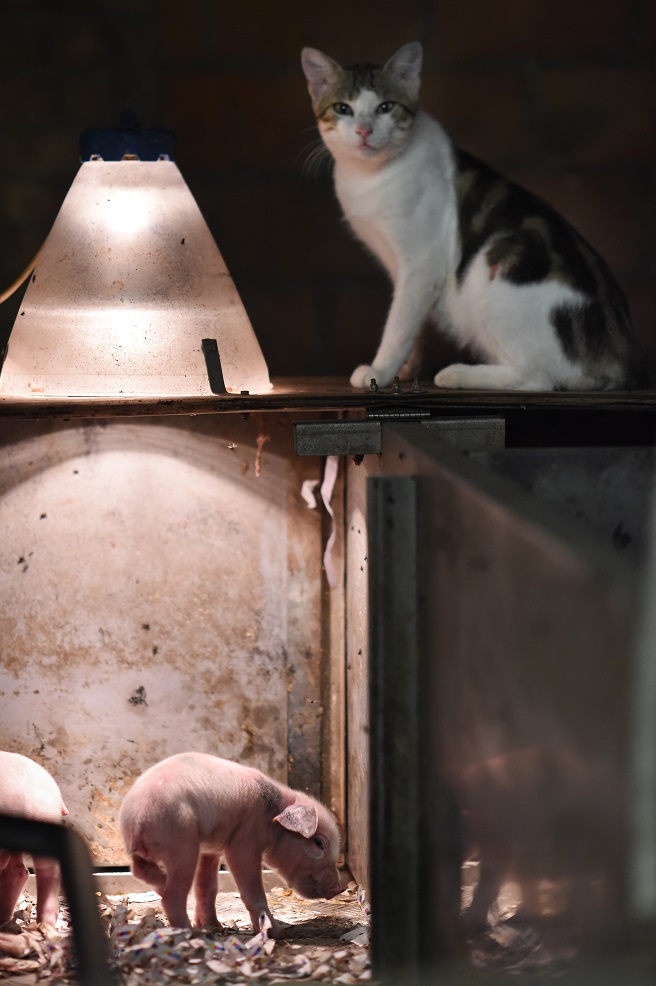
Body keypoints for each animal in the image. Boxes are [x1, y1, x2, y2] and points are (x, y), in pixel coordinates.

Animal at [300, 42, 648, 390]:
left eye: (386, 107)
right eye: (342, 108)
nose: (364, 130)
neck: (368, 177)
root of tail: (624, 357)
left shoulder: (422, 263)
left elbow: (398, 325)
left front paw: (380, 371)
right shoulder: (406, 273)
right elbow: (413, 322)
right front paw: (405, 371)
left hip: (493, 264)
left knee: (537, 379)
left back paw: (458, 374)